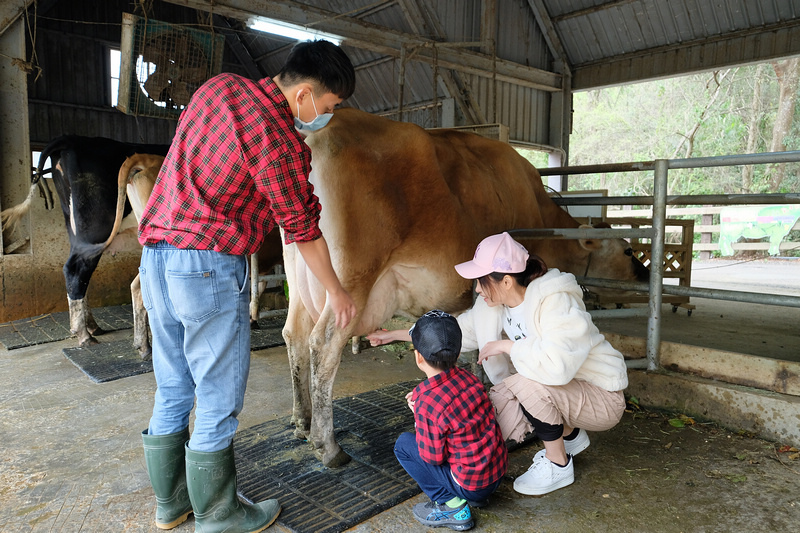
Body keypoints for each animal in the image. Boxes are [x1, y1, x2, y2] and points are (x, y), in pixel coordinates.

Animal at [282, 108, 648, 466]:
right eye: (628, 250)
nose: (646, 277)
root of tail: (318, 133)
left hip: (298, 273)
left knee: (294, 335)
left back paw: (301, 421)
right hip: (351, 277)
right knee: (323, 345)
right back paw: (327, 445)